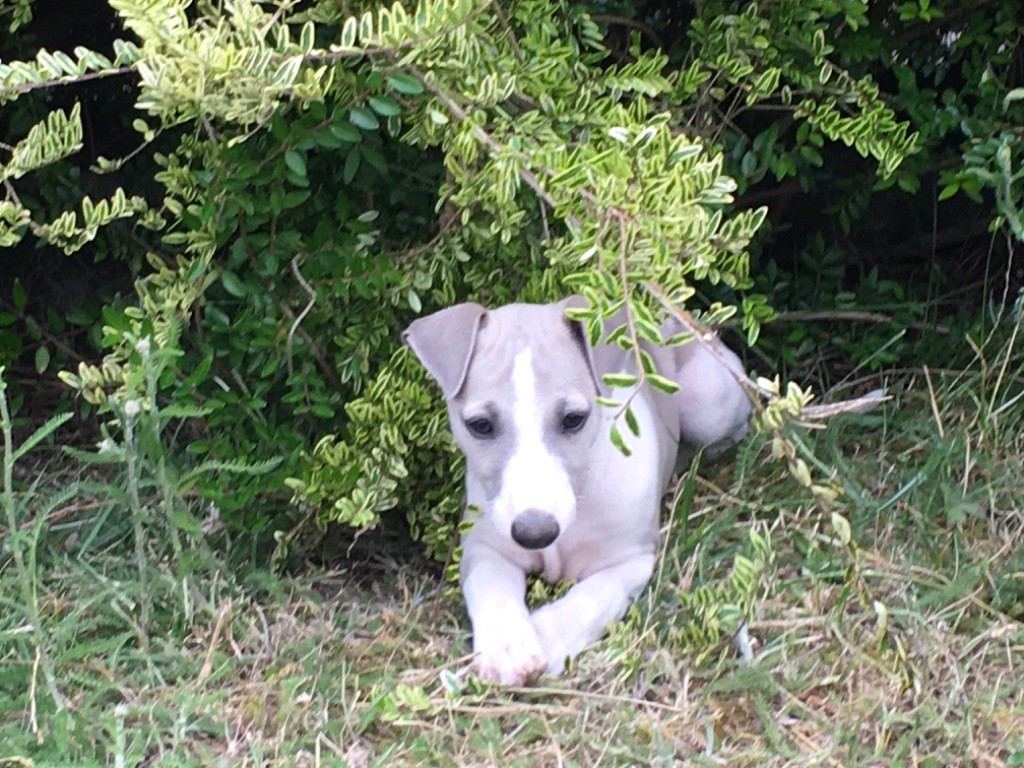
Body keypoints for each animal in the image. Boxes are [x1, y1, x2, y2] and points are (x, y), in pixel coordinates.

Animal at [404, 297, 751, 685]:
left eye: (573, 419)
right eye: (480, 425)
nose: (535, 532)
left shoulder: (632, 559)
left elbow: (593, 596)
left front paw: (547, 637)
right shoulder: (484, 546)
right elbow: (491, 588)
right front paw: (509, 648)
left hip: (709, 403)